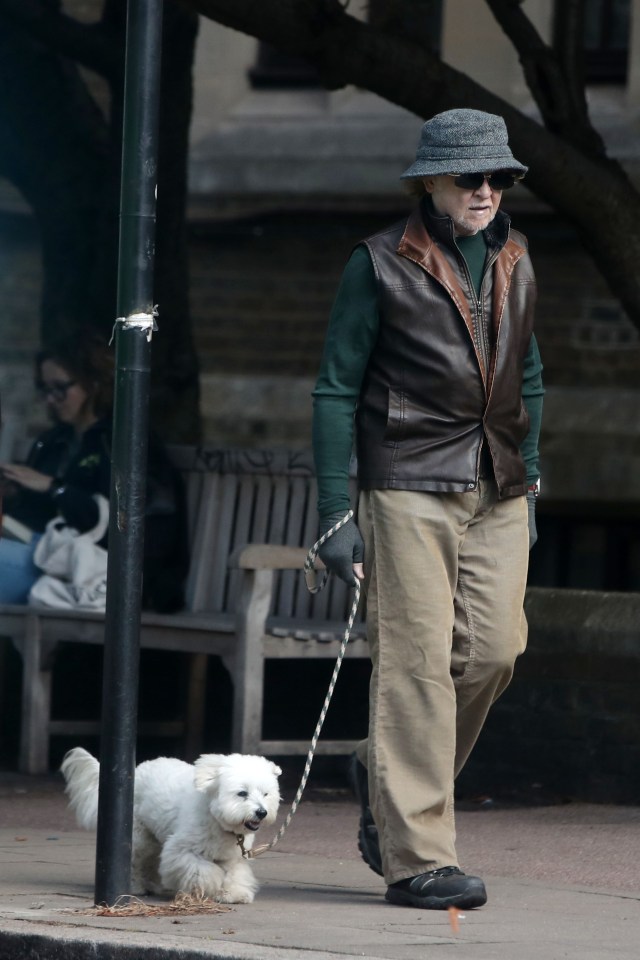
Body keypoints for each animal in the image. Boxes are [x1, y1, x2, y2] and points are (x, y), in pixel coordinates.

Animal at [62, 752, 280, 900]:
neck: (216, 818)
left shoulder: (232, 856)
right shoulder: (183, 850)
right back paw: (134, 886)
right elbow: (204, 870)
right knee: (134, 860)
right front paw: (209, 885)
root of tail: (137, 770)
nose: (261, 812)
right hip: (139, 835)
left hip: (155, 836)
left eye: (266, 794)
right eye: (242, 793)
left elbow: (234, 873)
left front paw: (233, 893)